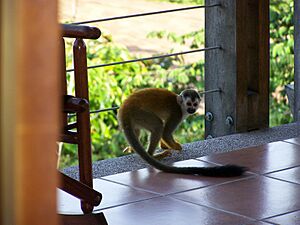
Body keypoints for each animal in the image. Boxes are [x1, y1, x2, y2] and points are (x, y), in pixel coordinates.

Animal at [118, 88, 247, 178]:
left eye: (195, 104)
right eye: (189, 104)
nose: (192, 110)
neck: (180, 106)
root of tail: (125, 109)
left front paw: (164, 145)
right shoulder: (177, 113)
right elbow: (165, 132)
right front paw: (176, 146)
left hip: (136, 117)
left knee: (140, 129)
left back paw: (133, 148)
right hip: (139, 113)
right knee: (158, 126)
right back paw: (152, 155)